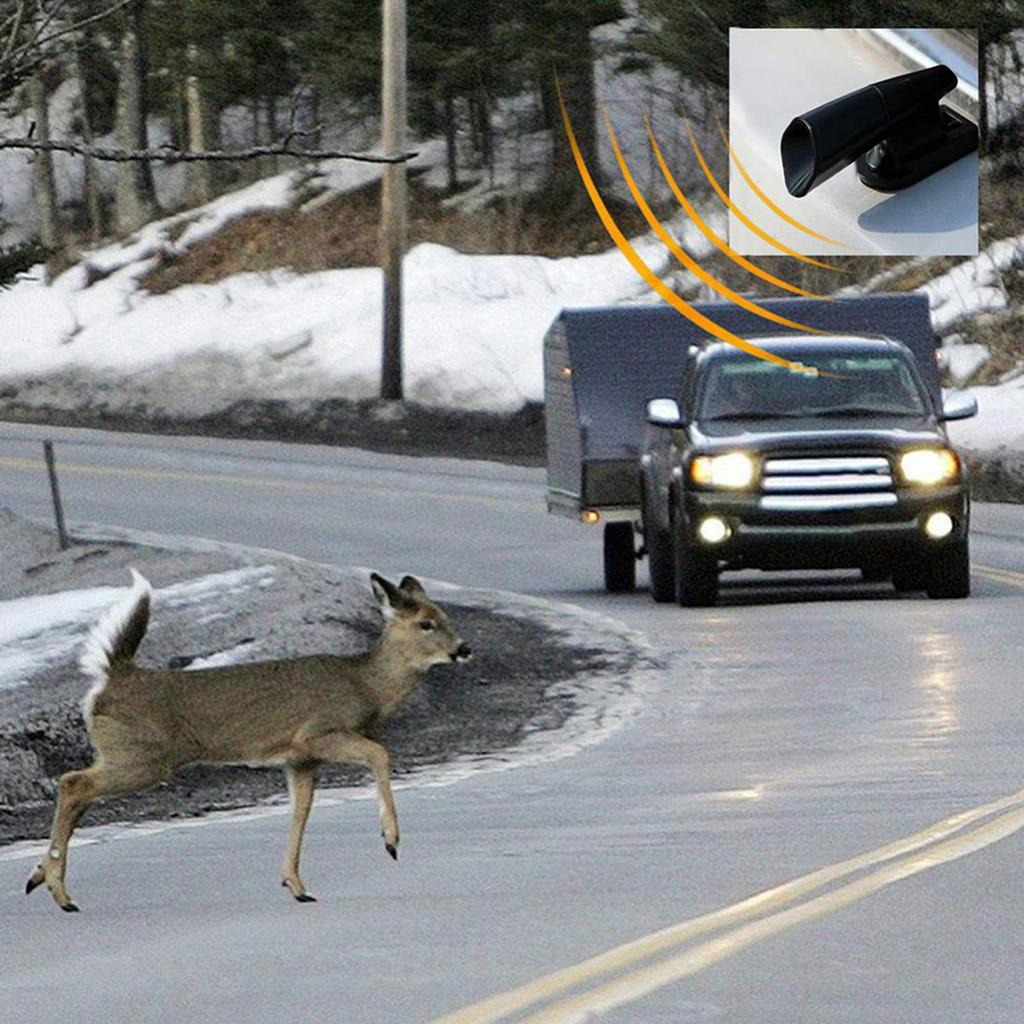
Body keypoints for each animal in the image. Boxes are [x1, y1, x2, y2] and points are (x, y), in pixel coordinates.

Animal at [25, 568, 472, 912]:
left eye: (446, 616)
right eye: (426, 623)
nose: (464, 648)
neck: (366, 687)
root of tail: (112, 678)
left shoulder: (300, 759)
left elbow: (301, 811)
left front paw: (296, 885)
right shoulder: (318, 732)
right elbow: (380, 753)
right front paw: (390, 840)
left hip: (123, 753)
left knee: (80, 793)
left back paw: (40, 878)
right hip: (144, 755)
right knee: (72, 783)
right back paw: (61, 893)